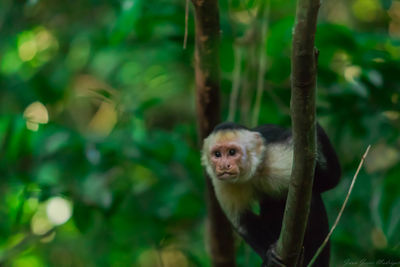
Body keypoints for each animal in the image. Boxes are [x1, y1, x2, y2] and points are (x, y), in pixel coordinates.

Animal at [200, 123, 340, 267]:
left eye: (232, 152)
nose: (223, 166)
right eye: (217, 154)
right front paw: (269, 257)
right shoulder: (221, 183)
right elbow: (243, 221)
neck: (251, 173)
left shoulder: (278, 159)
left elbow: (330, 179)